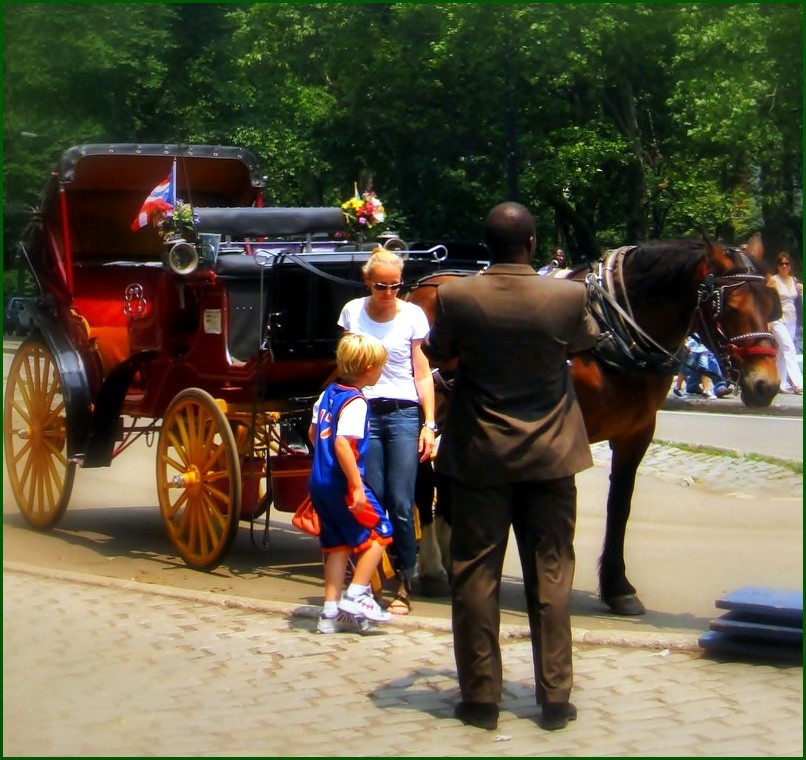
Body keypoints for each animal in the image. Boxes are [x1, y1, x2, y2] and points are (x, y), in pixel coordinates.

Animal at [410, 238, 784, 616]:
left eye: (771, 305)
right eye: (729, 307)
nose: (765, 385)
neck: (612, 333)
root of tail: (424, 284)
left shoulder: (636, 434)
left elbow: (619, 506)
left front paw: (618, 587)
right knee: (424, 480)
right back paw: (432, 567)